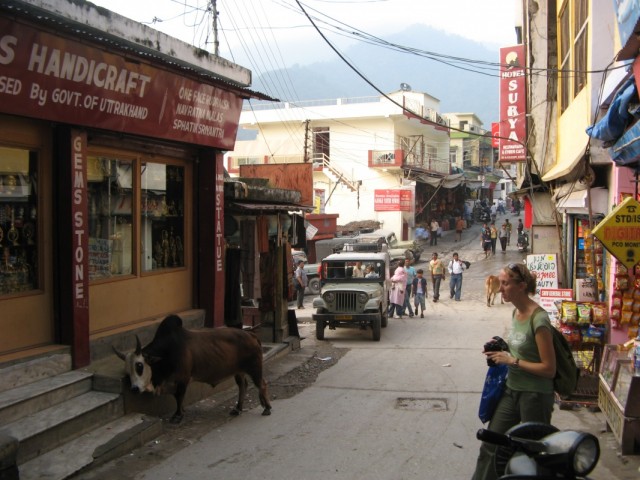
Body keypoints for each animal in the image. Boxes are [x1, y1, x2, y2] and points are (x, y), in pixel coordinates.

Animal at [113, 314, 272, 423]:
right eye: (127, 371)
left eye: (139, 365)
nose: (134, 388)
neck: (167, 352)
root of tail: (251, 334)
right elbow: (176, 397)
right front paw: (181, 412)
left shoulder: (183, 378)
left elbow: (179, 396)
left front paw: (178, 415)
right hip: (238, 371)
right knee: (243, 385)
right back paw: (238, 408)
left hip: (254, 368)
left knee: (262, 384)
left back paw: (267, 408)